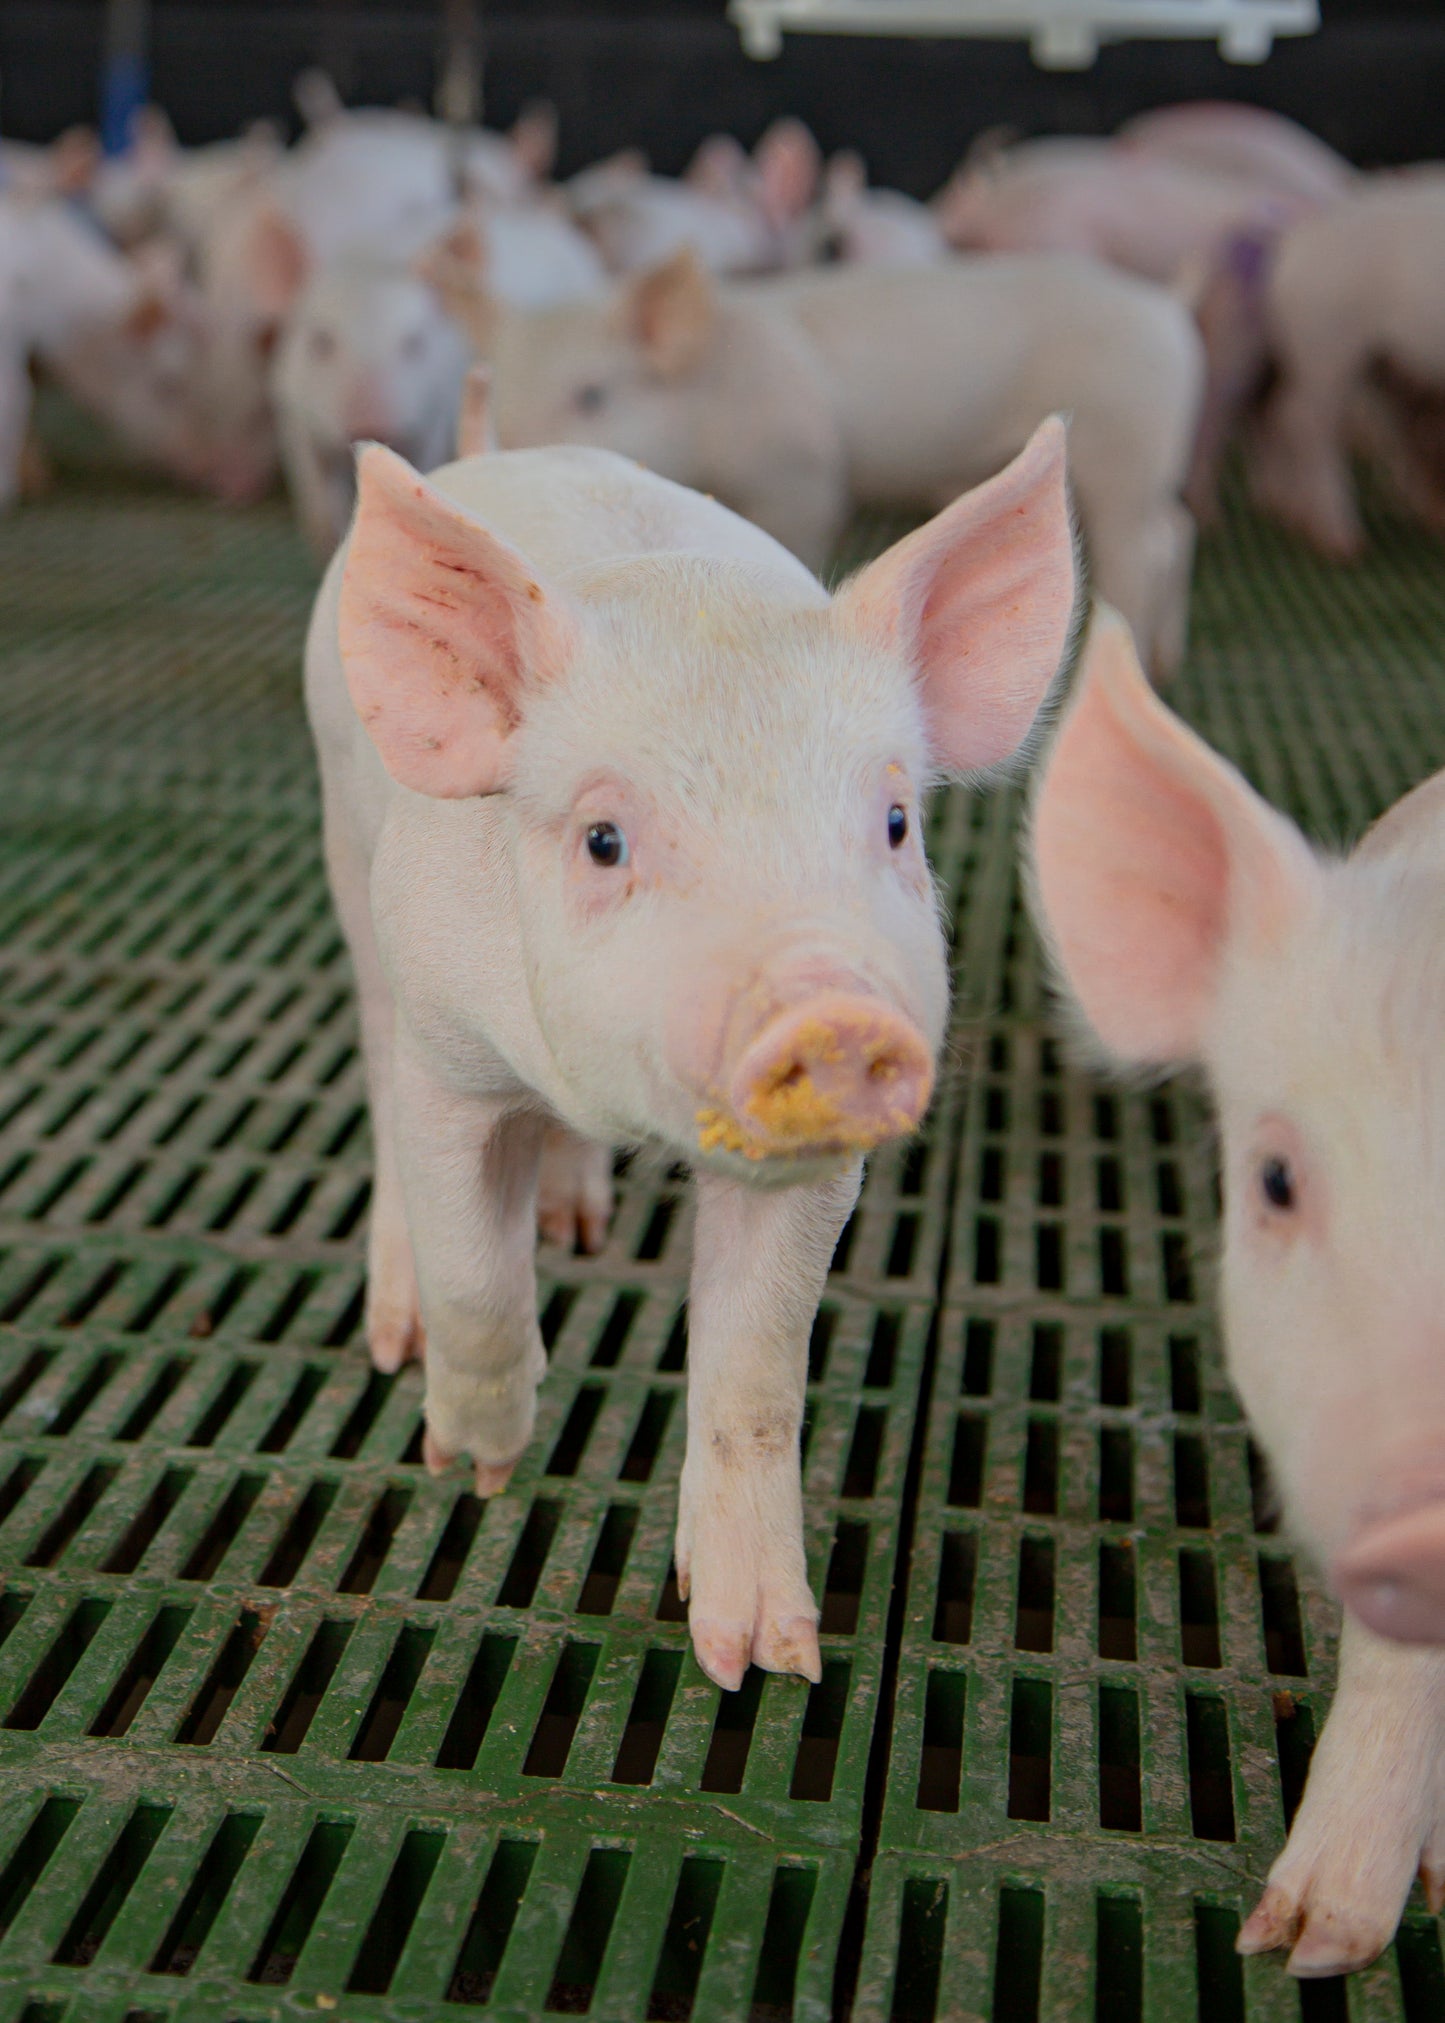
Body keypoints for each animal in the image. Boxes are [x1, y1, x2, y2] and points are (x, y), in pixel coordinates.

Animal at [306, 420, 1076, 1688]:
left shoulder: (812, 1170)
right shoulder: (448, 1059)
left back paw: (575, 1220)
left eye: (895, 822)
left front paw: (760, 1661)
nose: (830, 1012)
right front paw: (476, 1466)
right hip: (348, 861)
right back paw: (396, 1331)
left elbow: (757, 1367)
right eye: (603, 839)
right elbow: (475, 1271)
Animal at [439, 246, 1200, 677]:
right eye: (505, 392)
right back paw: (1164, 659)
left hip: (1125, 441)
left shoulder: (799, 470)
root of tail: (1167, 307)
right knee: (1177, 529)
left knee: (1142, 546)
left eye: (592, 394)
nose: (512, 444)